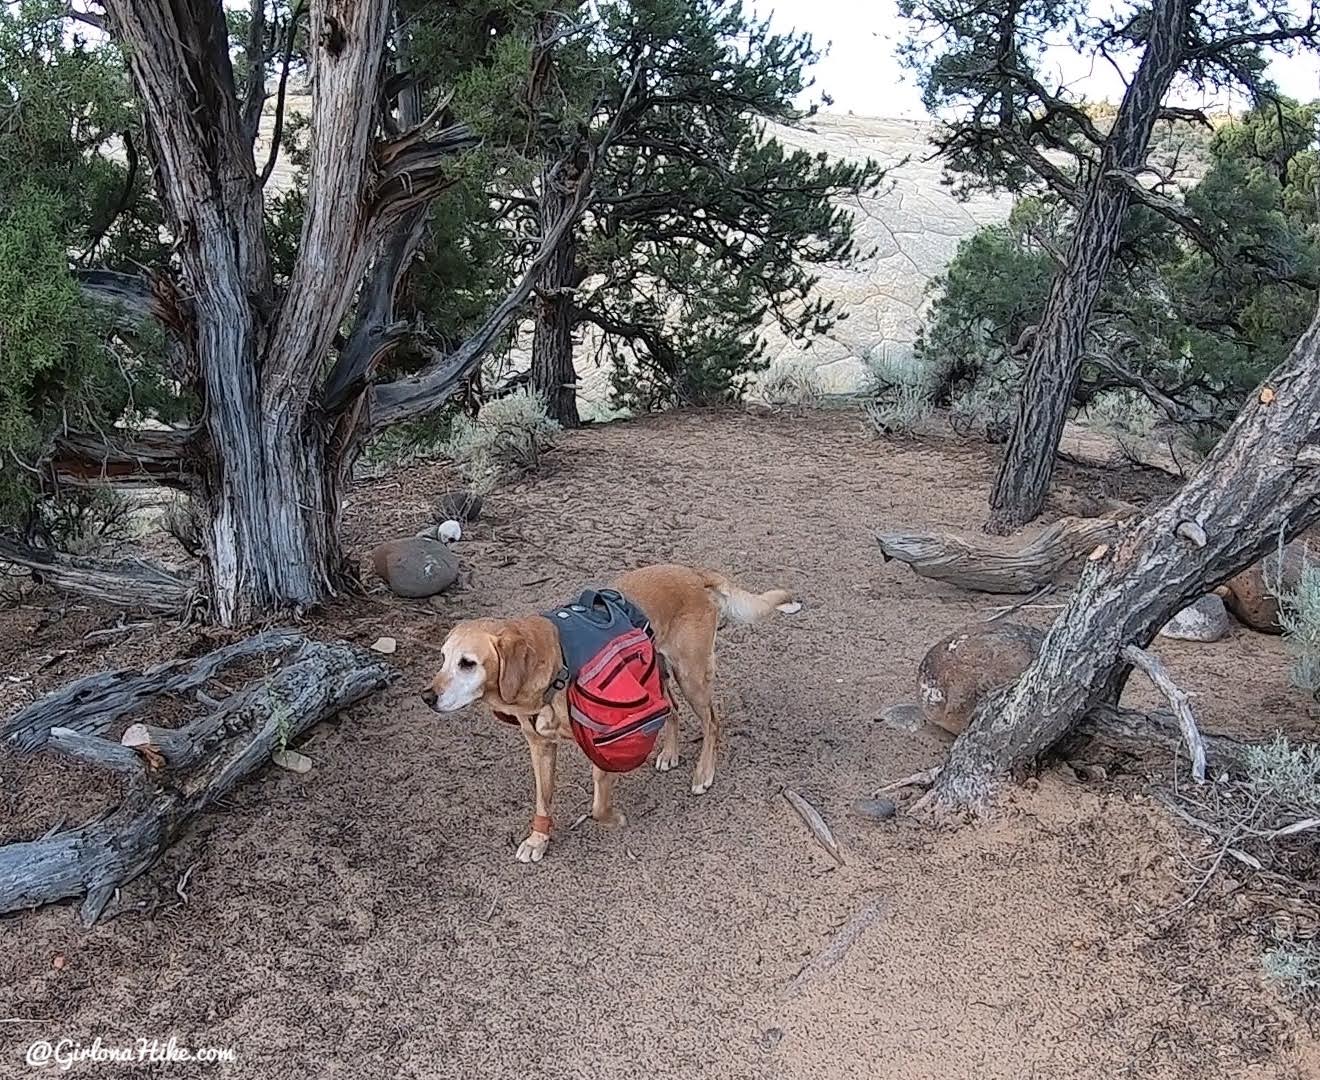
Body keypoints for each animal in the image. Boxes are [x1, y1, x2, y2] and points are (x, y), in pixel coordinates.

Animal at [422, 565, 797, 860]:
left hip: (690, 675)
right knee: (672, 710)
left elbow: (598, 806)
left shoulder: (603, 742)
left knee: (713, 721)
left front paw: (614, 819)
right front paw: (538, 839)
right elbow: (543, 799)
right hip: (657, 676)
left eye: (468, 663)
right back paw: (670, 753)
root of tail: (693, 573)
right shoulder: (540, 747)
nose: (427, 696)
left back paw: (704, 772)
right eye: (442, 658)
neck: (553, 666)